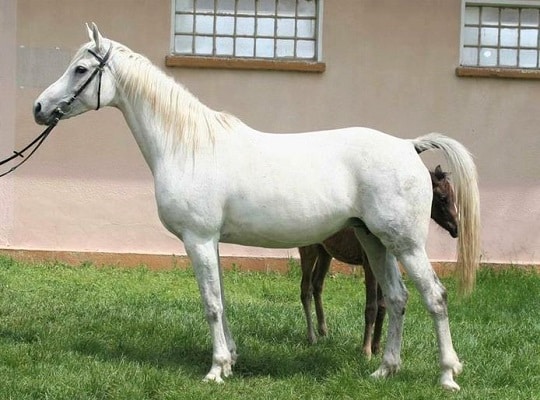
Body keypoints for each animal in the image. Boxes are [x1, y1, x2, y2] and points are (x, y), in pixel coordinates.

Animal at [33, 24, 480, 390]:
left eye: (80, 70)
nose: (39, 108)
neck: (188, 146)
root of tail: (408, 145)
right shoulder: (210, 241)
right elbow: (221, 300)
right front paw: (230, 360)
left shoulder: (197, 239)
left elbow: (211, 304)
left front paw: (215, 369)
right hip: (375, 241)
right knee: (398, 297)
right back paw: (385, 369)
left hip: (404, 243)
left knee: (434, 296)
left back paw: (447, 375)